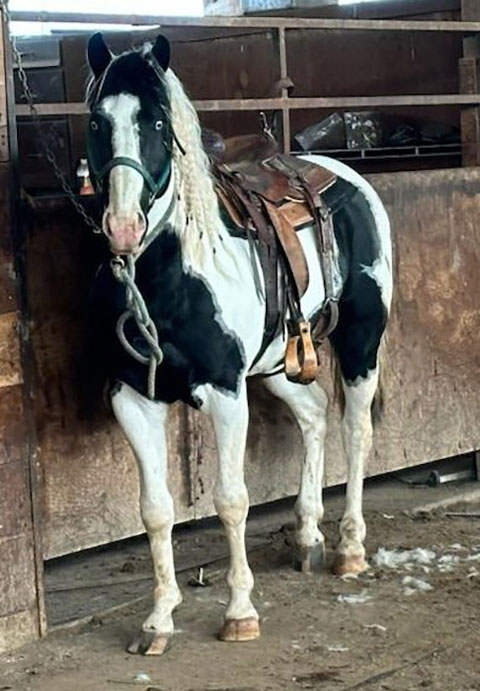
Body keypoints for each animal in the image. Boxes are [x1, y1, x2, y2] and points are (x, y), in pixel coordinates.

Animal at [87, 33, 394, 660]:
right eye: (97, 122)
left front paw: (239, 613)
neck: (170, 276)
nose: (124, 228)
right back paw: (307, 535)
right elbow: (155, 510)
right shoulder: (132, 398)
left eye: (157, 122)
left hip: (361, 339)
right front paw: (158, 619)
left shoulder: (226, 392)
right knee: (314, 418)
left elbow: (232, 500)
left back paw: (349, 548)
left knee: (355, 430)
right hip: (277, 364)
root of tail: (344, 176)